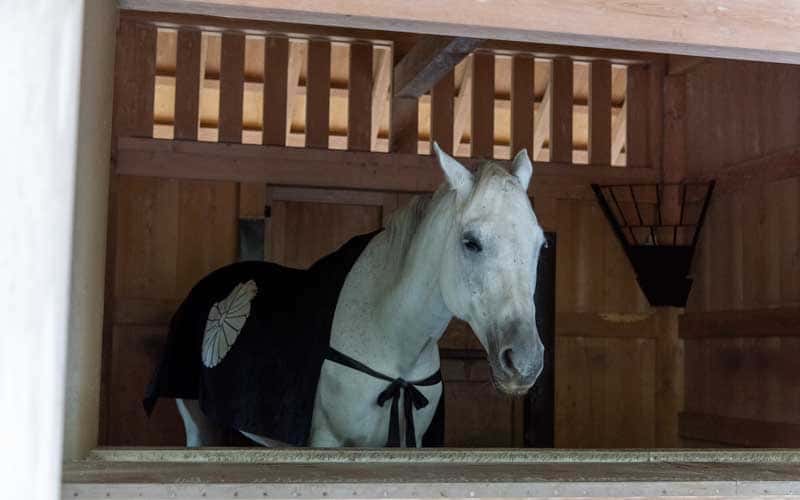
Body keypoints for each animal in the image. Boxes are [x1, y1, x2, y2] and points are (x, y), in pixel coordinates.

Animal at [143, 143, 546, 448]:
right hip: (198, 423)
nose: (524, 361)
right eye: (470, 242)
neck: (391, 336)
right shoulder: (327, 442)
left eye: (540, 244)